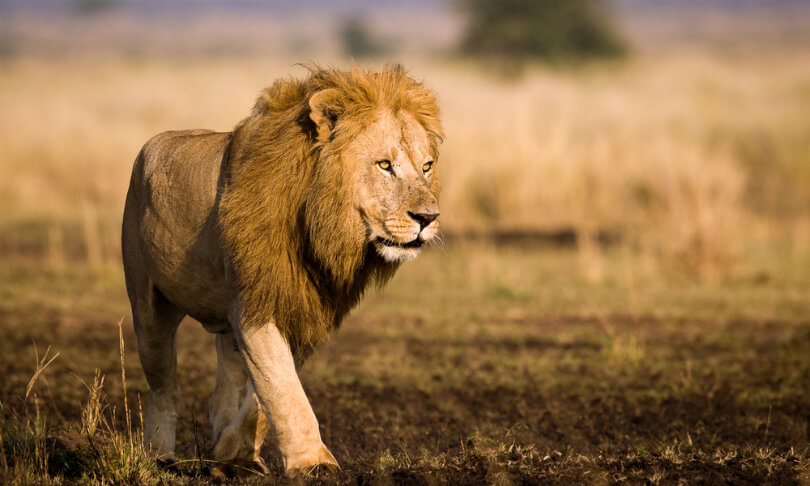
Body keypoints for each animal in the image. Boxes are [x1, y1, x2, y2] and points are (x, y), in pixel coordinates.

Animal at [120, 64, 442, 474]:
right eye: (385, 165)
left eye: (426, 167)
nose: (428, 218)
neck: (320, 229)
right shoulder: (254, 300)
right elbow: (282, 386)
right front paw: (314, 464)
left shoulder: (305, 305)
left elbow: (267, 392)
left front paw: (232, 453)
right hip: (148, 304)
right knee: (165, 384)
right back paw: (159, 455)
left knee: (224, 386)